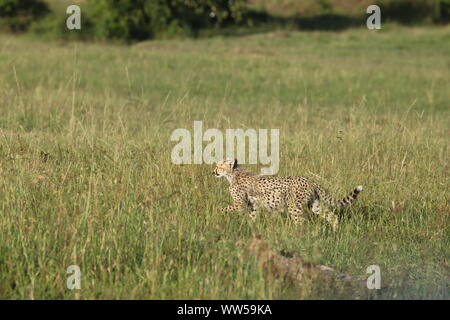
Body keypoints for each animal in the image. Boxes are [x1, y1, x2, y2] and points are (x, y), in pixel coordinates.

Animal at [213, 159, 364, 229]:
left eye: (218, 166)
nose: (213, 171)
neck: (233, 174)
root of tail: (310, 180)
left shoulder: (240, 203)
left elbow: (225, 208)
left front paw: (218, 213)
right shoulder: (253, 205)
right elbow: (253, 217)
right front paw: (251, 228)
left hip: (294, 205)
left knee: (300, 222)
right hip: (314, 204)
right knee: (331, 215)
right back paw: (335, 230)